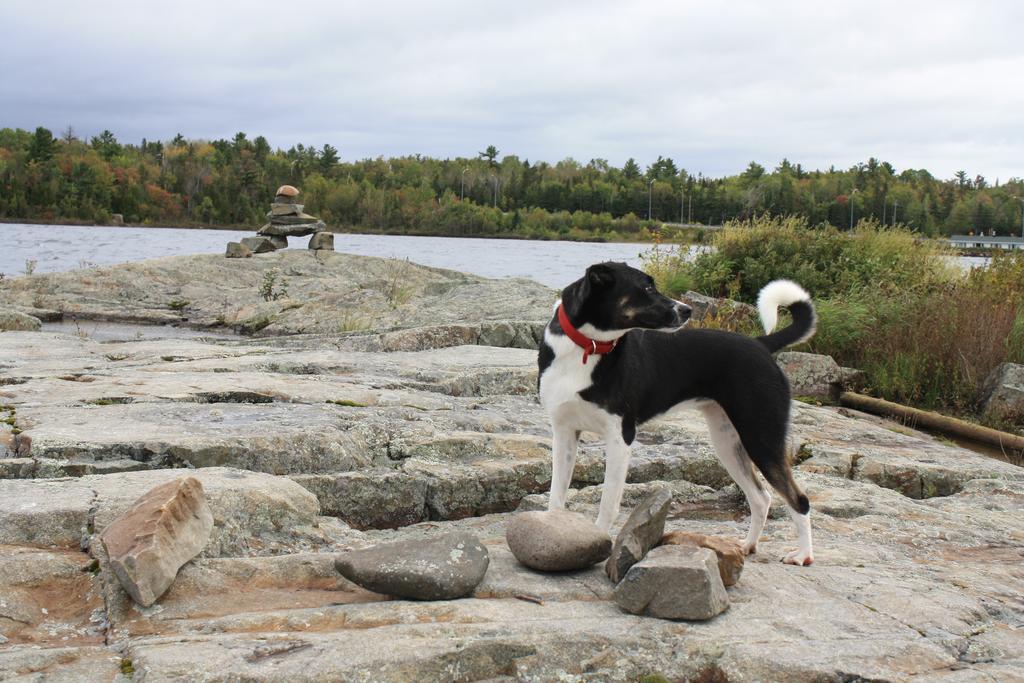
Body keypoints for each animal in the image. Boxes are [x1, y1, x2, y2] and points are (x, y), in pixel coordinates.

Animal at [536, 262, 815, 565]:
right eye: (647, 288)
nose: (687, 310)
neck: (587, 347)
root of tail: (762, 344)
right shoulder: (564, 432)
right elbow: (556, 497)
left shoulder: (620, 438)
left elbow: (608, 504)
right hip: (728, 443)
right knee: (761, 497)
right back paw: (747, 545)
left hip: (761, 437)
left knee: (799, 500)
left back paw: (802, 555)